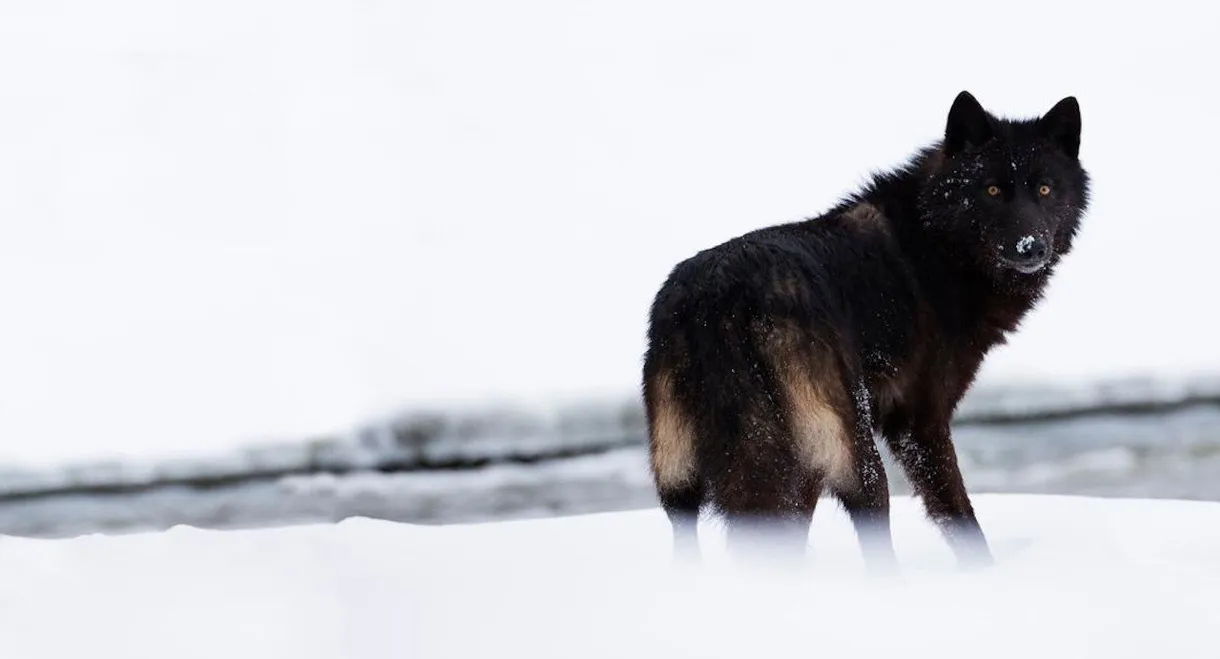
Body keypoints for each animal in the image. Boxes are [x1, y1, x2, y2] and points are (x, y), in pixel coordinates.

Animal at [641, 91, 1089, 569]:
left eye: (1045, 188)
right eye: (991, 190)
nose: (1031, 247)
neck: (936, 245)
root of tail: (719, 303)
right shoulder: (919, 422)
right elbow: (960, 517)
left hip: (685, 481)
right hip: (855, 456)